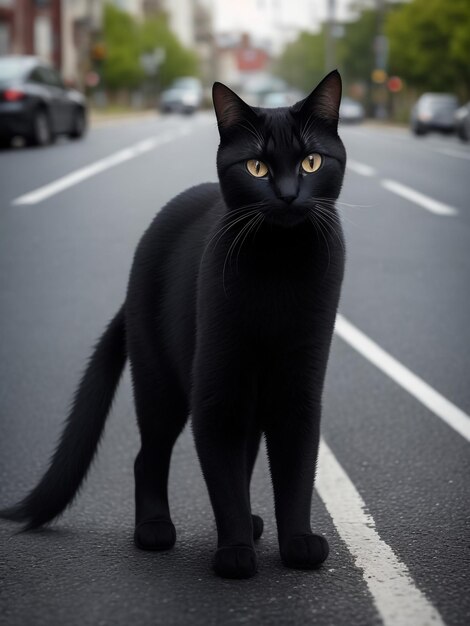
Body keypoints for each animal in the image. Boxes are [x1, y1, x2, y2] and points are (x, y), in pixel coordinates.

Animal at [0, 70, 346, 576]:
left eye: (311, 162)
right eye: (256, 168)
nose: (286, 195)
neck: (279, 266)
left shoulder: (300, 388)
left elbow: (295, 469)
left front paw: (298, 542)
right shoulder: (215, 390)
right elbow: (223, 476)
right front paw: (235, 554)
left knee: (242, 455)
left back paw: (254, 524)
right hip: (159, 380)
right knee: (149, 456)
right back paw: (154, 530)